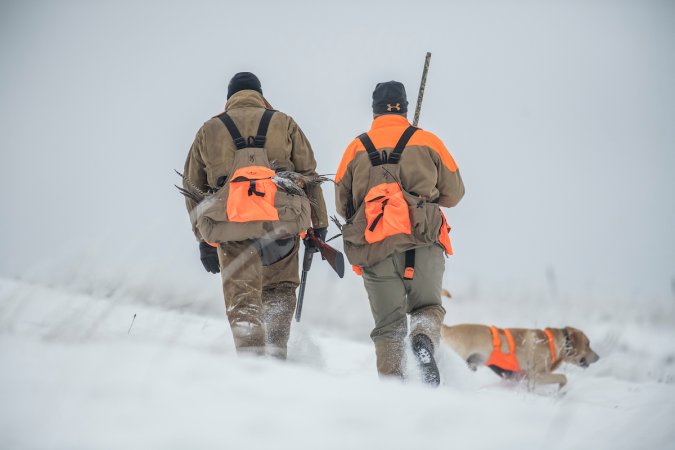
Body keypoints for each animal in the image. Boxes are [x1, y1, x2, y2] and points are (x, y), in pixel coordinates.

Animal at [444, 324, 604, 386]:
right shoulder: (536, 376)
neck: (553, 344)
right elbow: (563, 377)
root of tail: (448, 328)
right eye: (588, 344)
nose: (598, 357)